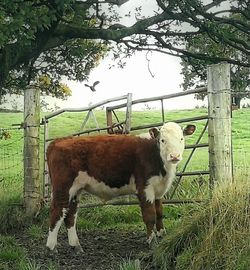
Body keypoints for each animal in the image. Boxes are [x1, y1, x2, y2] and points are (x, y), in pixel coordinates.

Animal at [46, 121, 195, 252]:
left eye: (181, 138)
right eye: (163, 140)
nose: (174, 156)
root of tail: (59, 141)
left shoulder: (159, 190)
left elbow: (159, 213)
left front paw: (161, 234)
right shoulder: (145, 187)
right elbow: (150, 215)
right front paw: (151, 241)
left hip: (76, 190)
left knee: (70, 215)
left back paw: (76, 246)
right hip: (63, 187)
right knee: (57, 210)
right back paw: (51, 247)